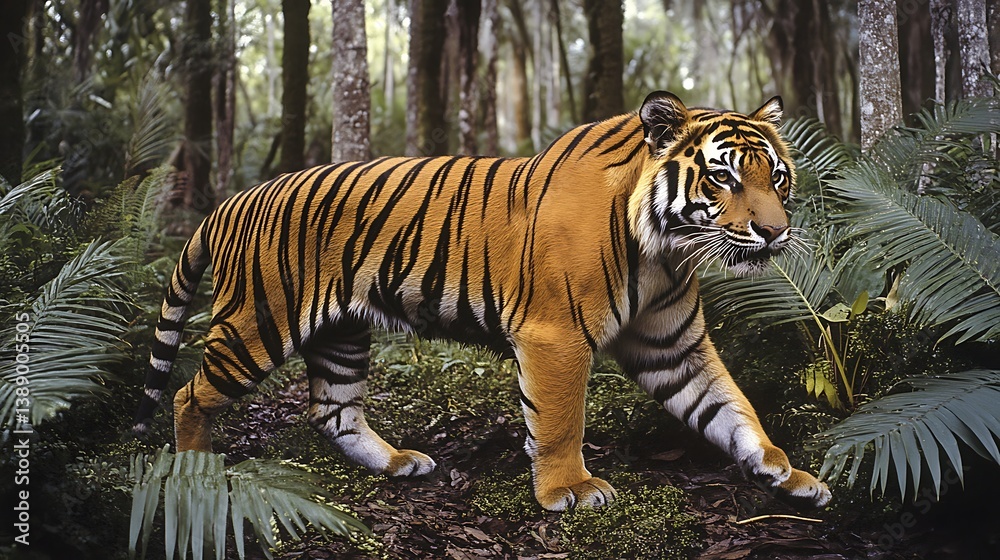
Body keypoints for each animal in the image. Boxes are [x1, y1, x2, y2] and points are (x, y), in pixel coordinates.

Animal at [133, 91, 831, 511]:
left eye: (778, 176)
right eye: (723, 177)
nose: (776, 232)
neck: (665, 249)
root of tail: (232, 201)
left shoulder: (673, 347)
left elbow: (731, 408)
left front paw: (787, 473)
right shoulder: (555, 335)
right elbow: (559, 421)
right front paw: (569, 490)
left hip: (341, 335)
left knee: (334, 411)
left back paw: (398, 464)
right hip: (258, 323)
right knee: (188, 395)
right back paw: (194, 475)